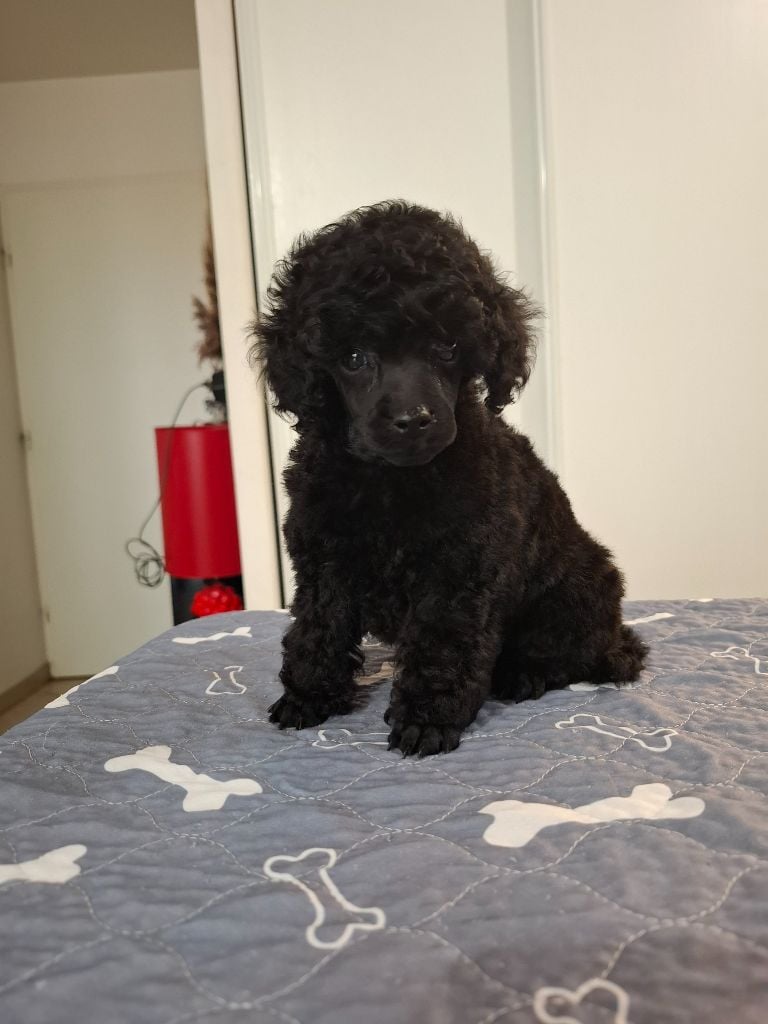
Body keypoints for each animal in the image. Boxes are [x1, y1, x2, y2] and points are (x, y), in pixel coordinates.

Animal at [253, 200, 647, 756]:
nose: (413, 419)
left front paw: (425, 721)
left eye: (447, 347)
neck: (390, 481)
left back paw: (520, 675)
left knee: (566, 654)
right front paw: (308, 696)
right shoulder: (324, 559)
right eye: (353, 358)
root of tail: (615, 634)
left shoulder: (457, 572)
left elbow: (440, 646)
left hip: (573, 593)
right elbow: (318, 627)